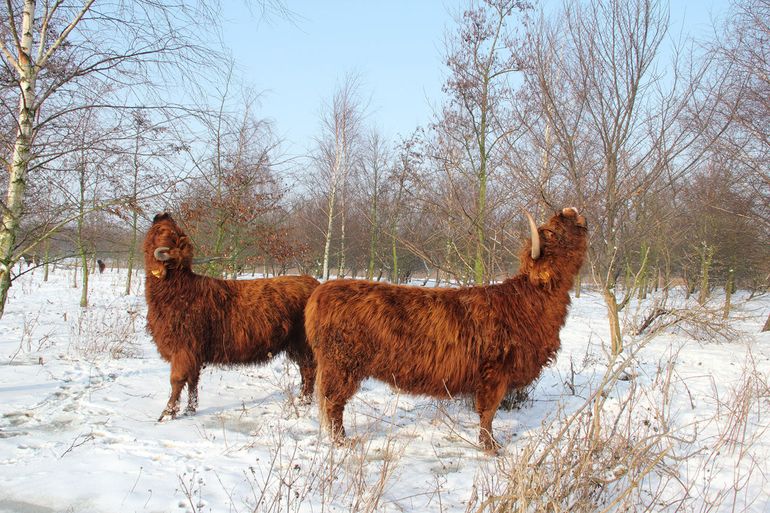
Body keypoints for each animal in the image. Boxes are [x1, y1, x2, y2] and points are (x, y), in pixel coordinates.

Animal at [144, 212, 318, 420]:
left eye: (165, 231)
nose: (161, 214)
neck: (176, 290)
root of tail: (315, 283)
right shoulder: (194, 352)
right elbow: (193, 381)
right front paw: (190, 409)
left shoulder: (183, 349)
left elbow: (177, 380)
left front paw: (167, 413)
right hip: (296, 346)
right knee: (305, 371)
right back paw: (302, 399)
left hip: (305, 344)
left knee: (309, 370)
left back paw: (304, 402)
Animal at [304, 206, 584, 450]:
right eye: (553, 232)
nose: (570, 210)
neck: (527, 302)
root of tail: (323, 290)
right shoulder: (495, 372)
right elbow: (488, 412)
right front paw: (491, 447)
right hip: (341, 365)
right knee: (333, 403)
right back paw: (343, 442)